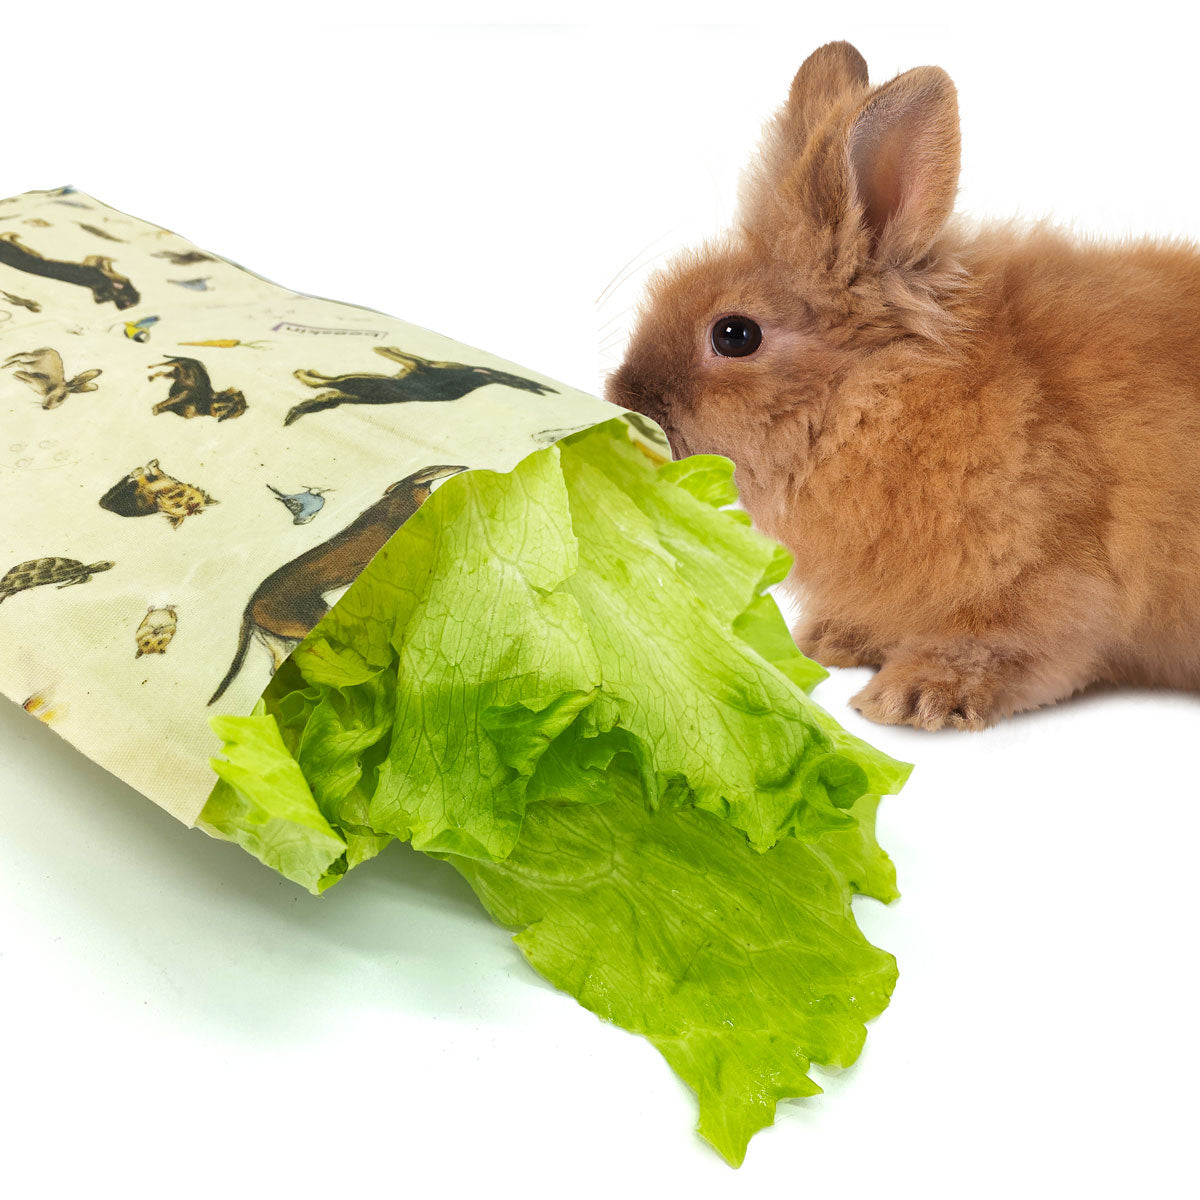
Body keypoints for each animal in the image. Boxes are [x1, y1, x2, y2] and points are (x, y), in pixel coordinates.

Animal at [606, 40, 1200, 731]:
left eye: (734, 334)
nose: (624, 399)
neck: (875, 400)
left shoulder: (1041, 579)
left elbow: (1001, 642)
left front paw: (912, 697)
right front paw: (830, 640)